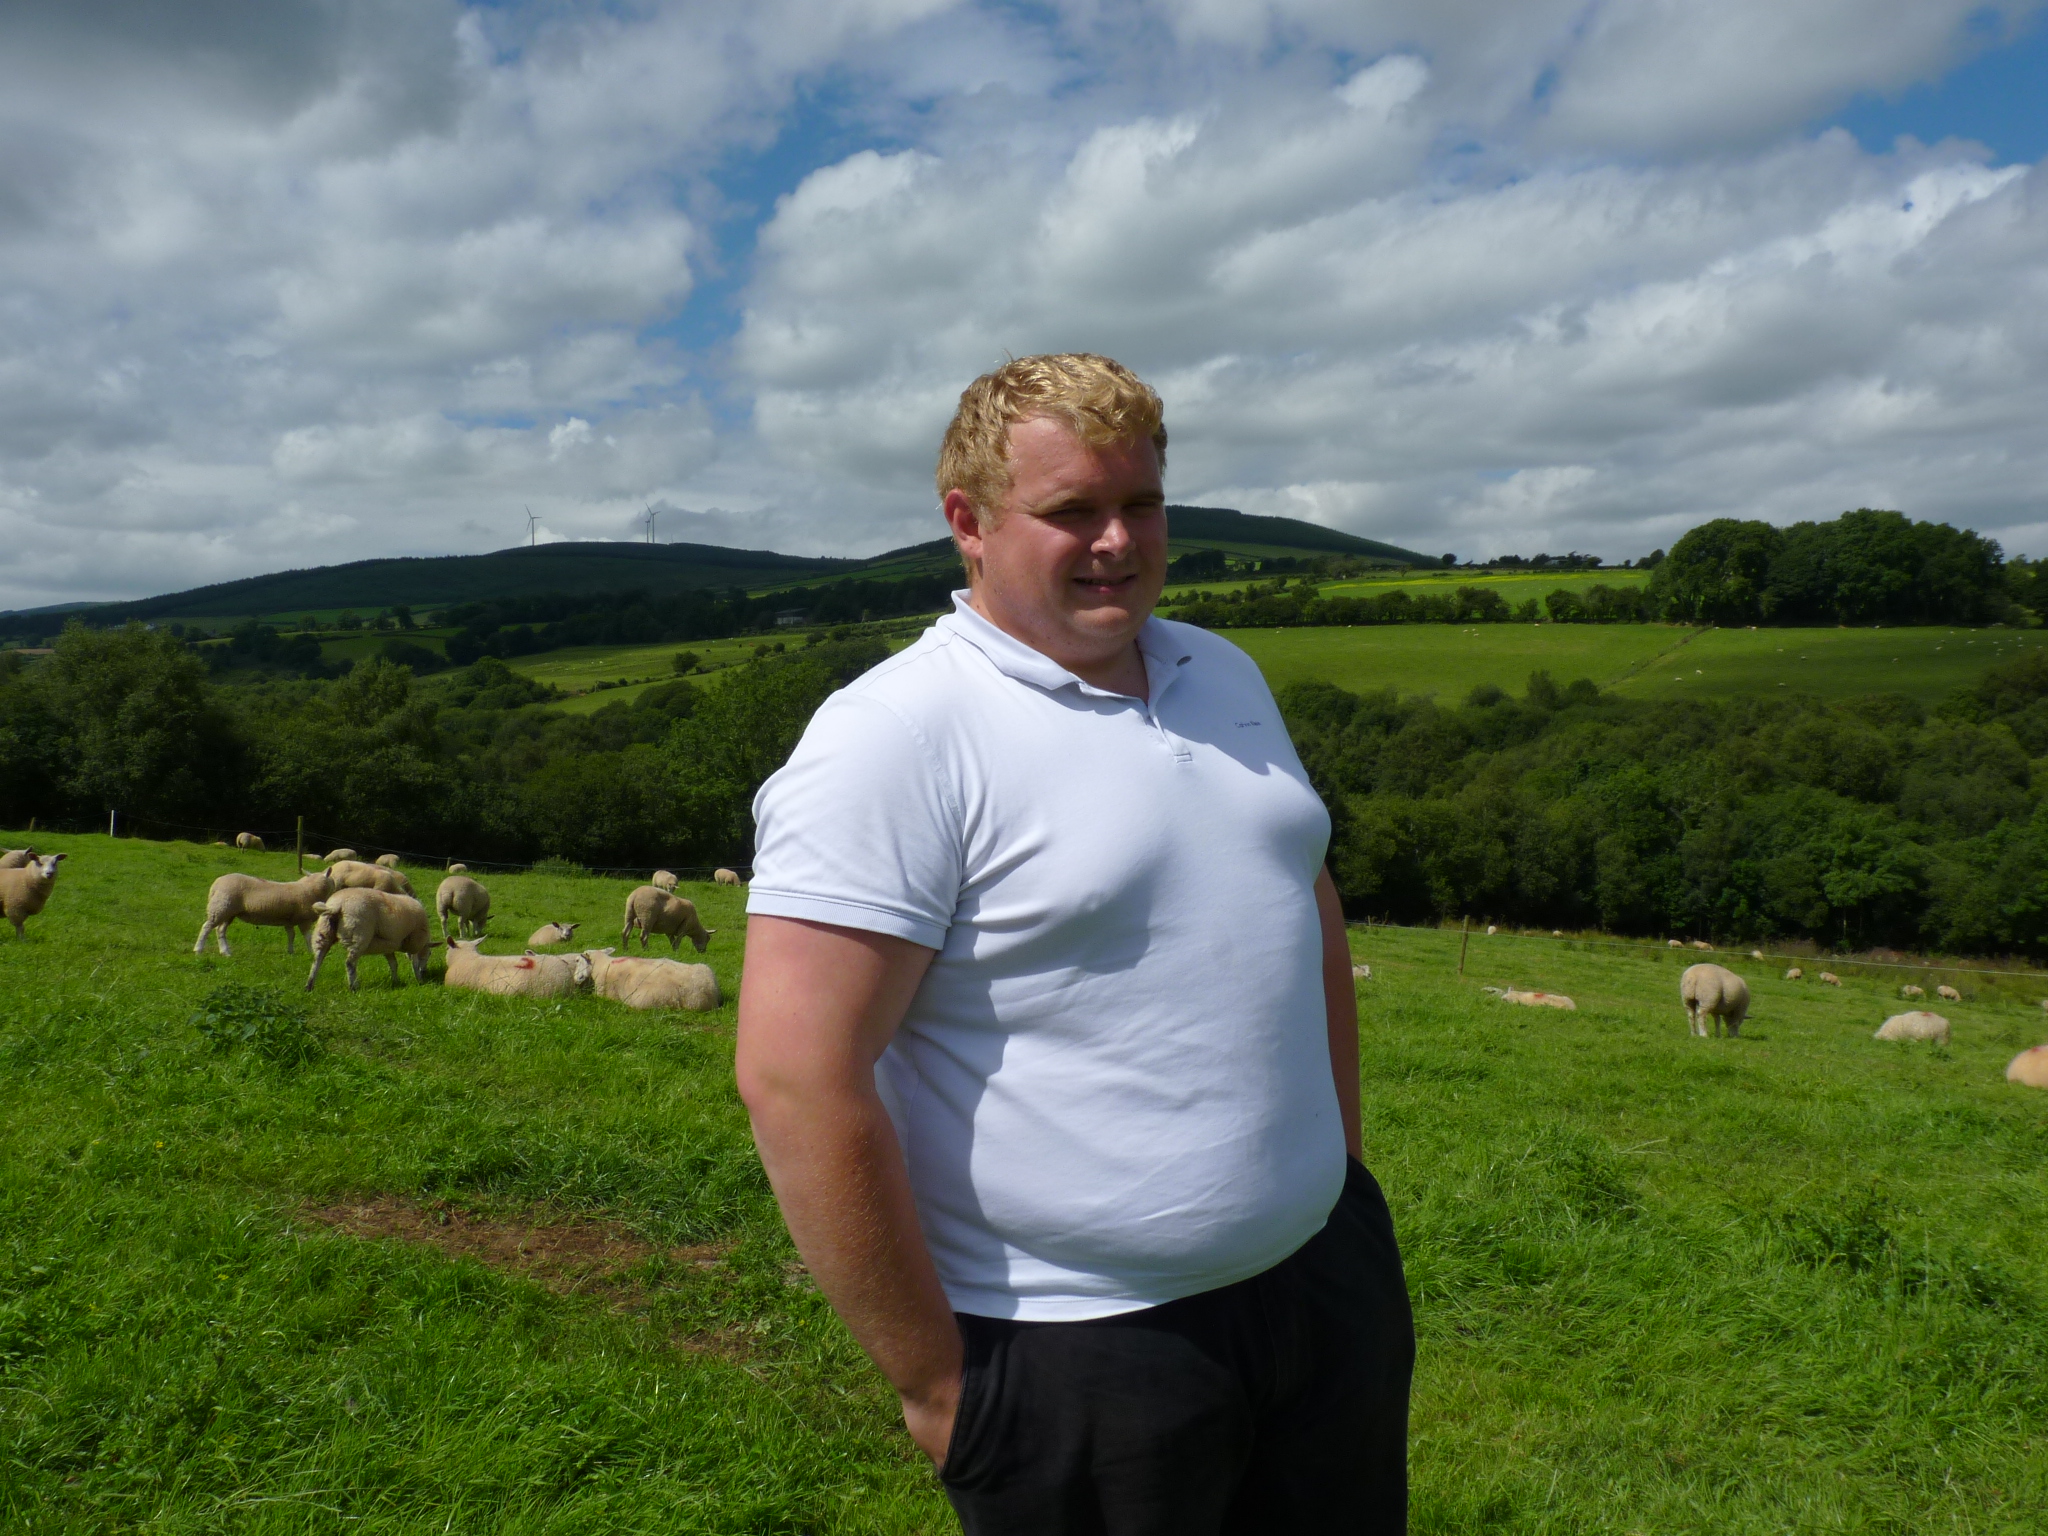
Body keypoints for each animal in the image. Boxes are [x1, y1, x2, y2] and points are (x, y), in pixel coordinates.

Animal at [195, 869, 335, 956]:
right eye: (332, 880)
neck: (311, 889)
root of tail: (215, 885)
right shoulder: (304, 919)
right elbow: (308, 937)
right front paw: (312, 952)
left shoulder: (289, 920)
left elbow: (291, 935)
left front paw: (290, 951)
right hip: (221, 907)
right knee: (206, 927)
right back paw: (198, 949)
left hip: (228, 911)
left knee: (220, 930)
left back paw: (225, 952)